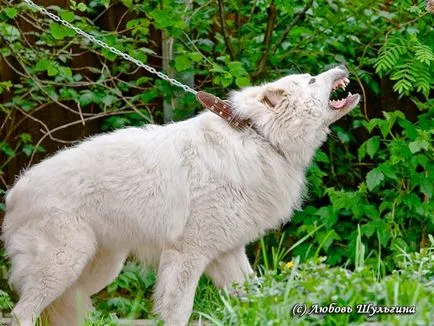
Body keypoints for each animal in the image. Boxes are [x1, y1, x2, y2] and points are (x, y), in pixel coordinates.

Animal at [1, 64, 360, 326]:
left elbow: (256, 298)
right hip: (63, 266)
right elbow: (178, 312)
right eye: (312, 79)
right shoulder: (187, 255)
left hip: (94, 272)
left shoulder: (226, 254)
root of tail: (15, 191)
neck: (257, 136)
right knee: (20, 315)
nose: (342, 66)